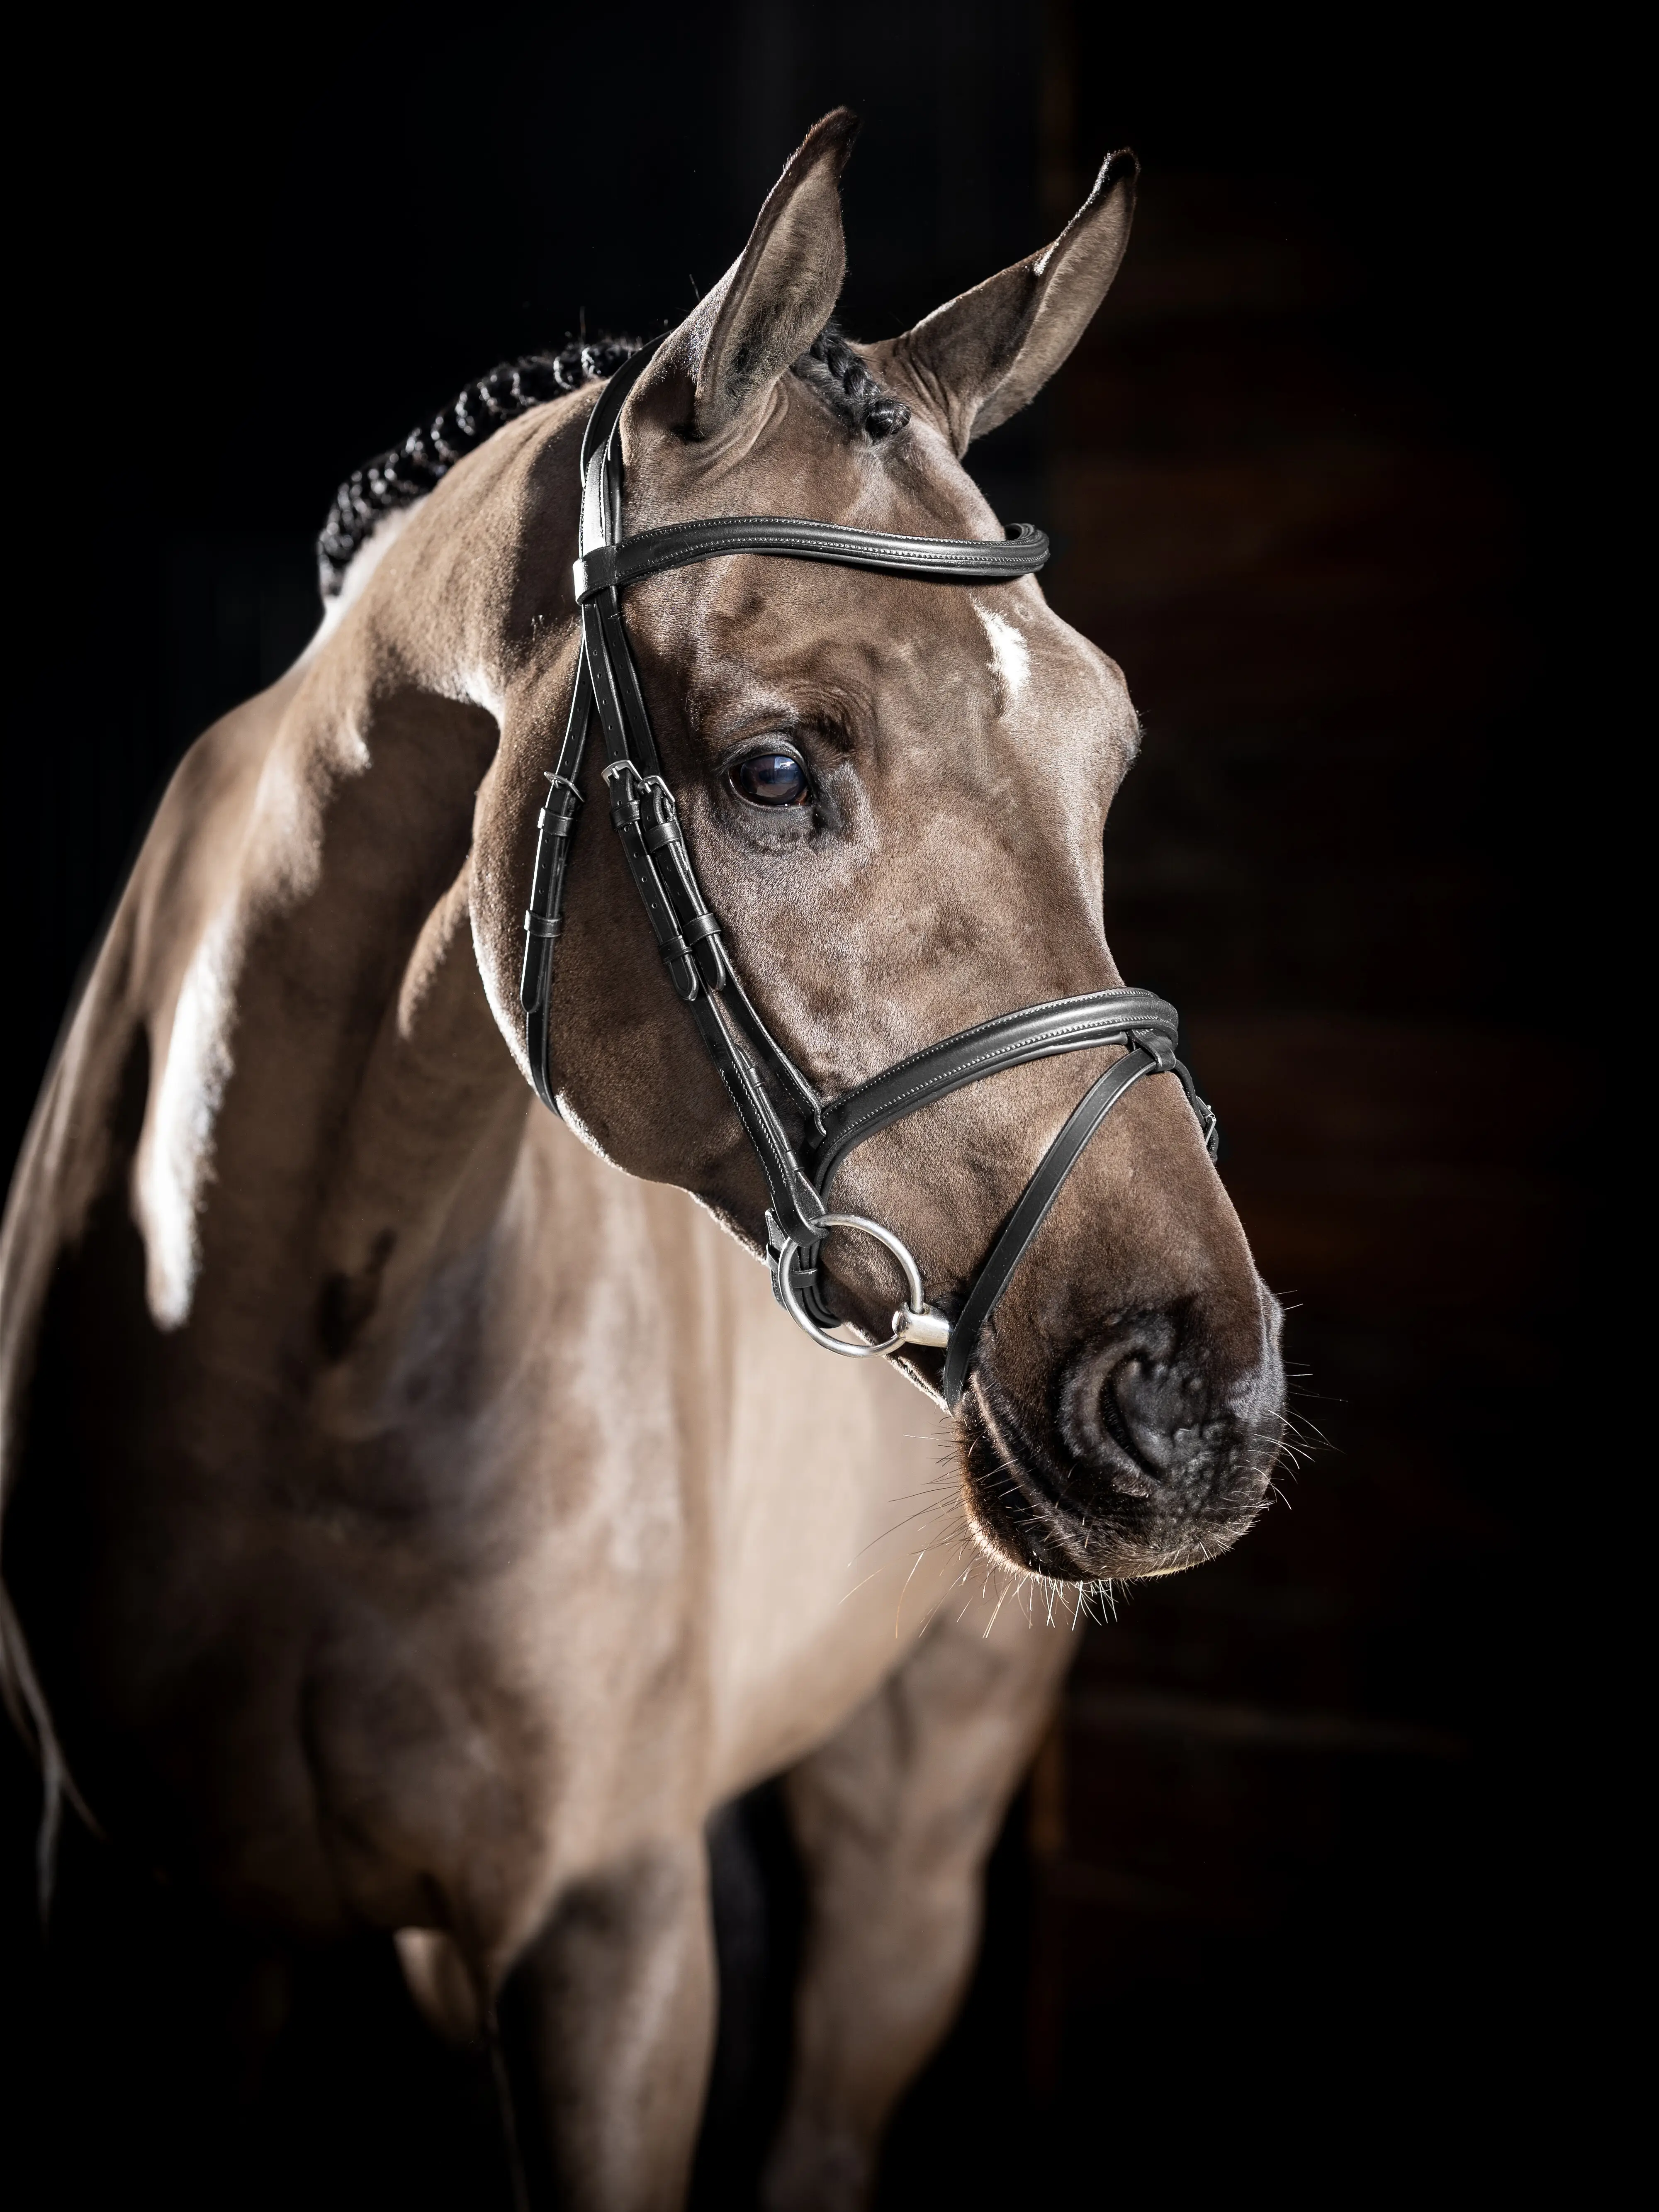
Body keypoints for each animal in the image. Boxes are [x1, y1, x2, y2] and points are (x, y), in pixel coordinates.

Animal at [0, 109, 1284, 2209]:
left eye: (1106, 754)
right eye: (773, 767)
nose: (1192, 1392)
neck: (297, 1345)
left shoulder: (608, 1945)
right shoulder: (155, 1920)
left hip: (911, 1835)